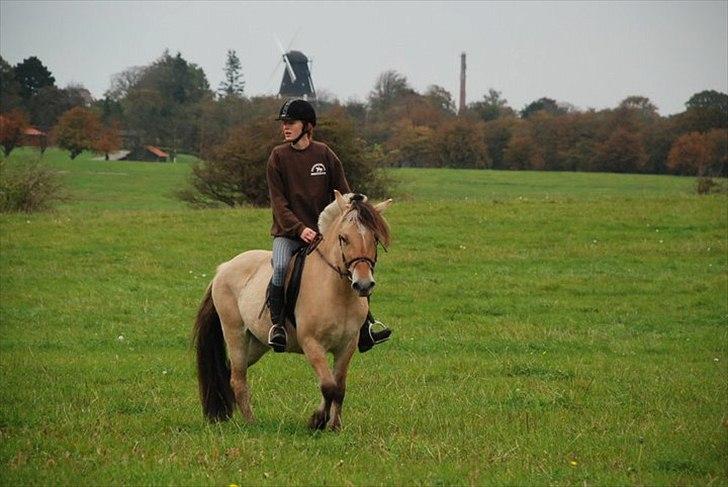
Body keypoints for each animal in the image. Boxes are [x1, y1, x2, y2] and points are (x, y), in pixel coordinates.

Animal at [193, 191, 392, 430]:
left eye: (375, 238)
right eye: (343, 238)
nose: (363, 285)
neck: (337, 292)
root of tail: (224, 268)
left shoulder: (347, 345)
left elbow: (339, 387)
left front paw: (335, 426)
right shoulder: (311, 344)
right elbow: (328, 385)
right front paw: (317, 420)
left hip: (257, 342)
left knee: (232, 370)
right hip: (235, 333)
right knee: (238, 378)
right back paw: (251, 423)